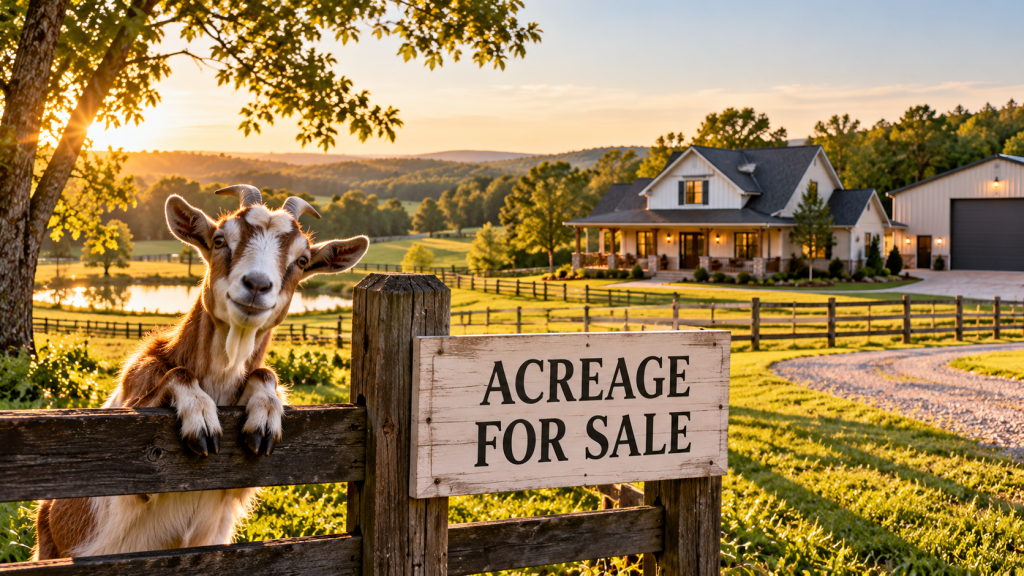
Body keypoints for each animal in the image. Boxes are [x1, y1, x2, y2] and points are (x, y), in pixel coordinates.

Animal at [33, 186, 368, 559]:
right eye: (220, 240)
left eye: (302, 261)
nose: (256, 285)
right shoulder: (133, 454)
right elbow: (177, 376)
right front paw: (202, 419)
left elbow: (264, 374)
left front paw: (265, 417)